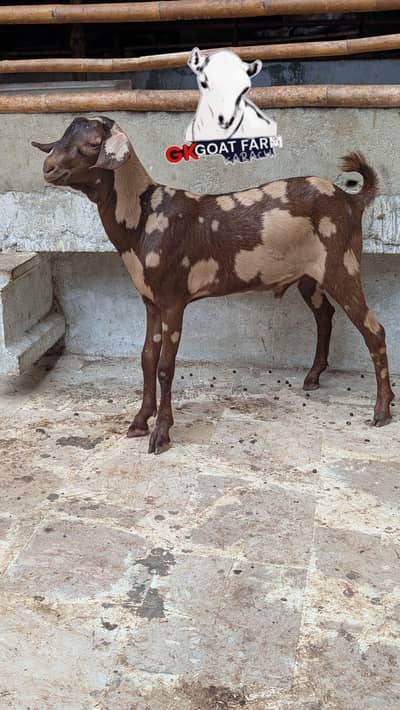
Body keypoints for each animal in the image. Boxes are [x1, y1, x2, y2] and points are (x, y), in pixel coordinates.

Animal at [33, 116, 393, 454]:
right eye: (61, 137)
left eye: (94, 143)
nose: (48, 168)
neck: (144, 217)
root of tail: (351, 200)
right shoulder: (150, 301)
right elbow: (147, 357)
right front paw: (139, 421)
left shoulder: (173, 300)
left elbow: (165, 366)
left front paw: (161, 433)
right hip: (310, 276)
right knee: (325, 316)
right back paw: (314, 377)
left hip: (342, 264)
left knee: (373, 330)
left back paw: (382, 410)